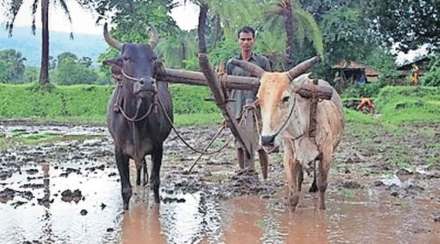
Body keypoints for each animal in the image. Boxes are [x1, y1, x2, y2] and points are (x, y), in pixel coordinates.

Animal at [102, 23, 172, 210]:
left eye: (153, 58)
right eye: (126, 58)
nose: (147, 83)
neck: (135, 119)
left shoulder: (158, 148)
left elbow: (155, 183)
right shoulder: (119, 151)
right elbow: (126, 190)